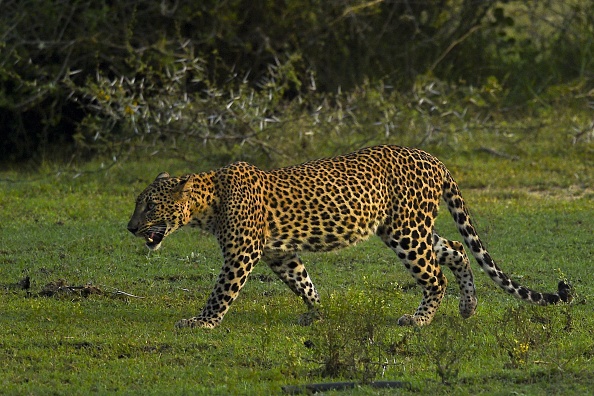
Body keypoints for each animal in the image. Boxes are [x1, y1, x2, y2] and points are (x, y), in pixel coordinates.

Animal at [126, 145, 568, 328]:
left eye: (148, 206)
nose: (130, 228)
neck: (209, 203)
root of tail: (434, 158)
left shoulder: (242, 254)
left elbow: (221, 292)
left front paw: (201, 322)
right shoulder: (278, 253)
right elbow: (303, 281)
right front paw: (316, 312)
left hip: (407, 231)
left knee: (436, 276)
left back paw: (420, 319)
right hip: (407, 228)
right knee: (457, 249)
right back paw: (468, 307)